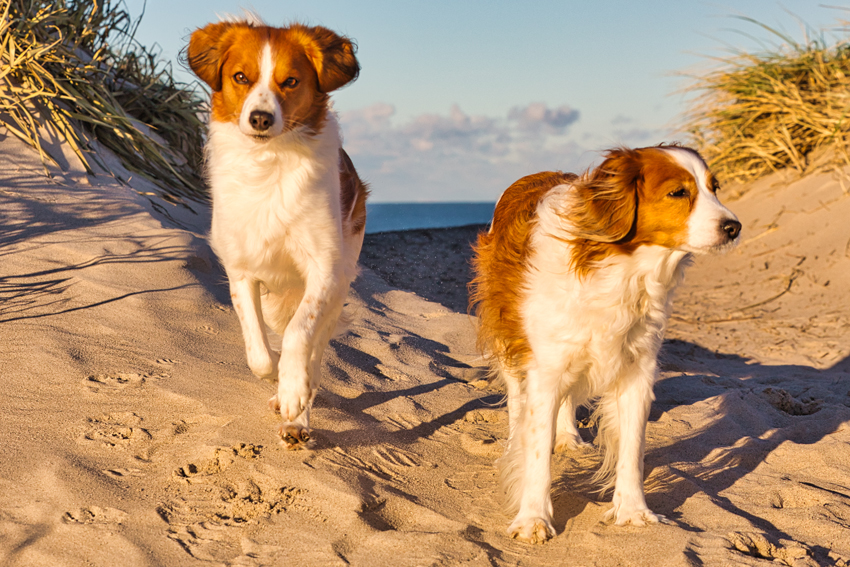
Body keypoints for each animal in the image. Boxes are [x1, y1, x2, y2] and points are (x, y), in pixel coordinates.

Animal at [187, 17, 366, 450]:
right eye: (240, 77)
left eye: (290, 81)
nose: (261, 118)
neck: (267, 161)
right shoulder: (241, 268)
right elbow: (259, 352)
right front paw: (277, 380)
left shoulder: (324, 269)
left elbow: (300, 335)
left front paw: (294, 392)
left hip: (340, 280)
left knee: (314, 349)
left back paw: (298, 417)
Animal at [468, 145, 740, 540]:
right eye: (678, 192)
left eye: (714, 188)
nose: (734, 227)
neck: (622, 270)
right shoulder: (544, 368)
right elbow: (536, 451)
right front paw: (533, 517)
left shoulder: (636, 371)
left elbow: (632, 450)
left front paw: (633, 511)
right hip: (510, 335)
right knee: (518, 401)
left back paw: (566, 436)